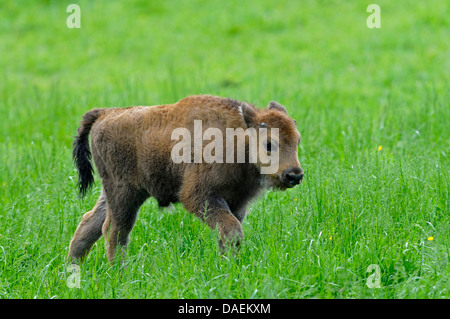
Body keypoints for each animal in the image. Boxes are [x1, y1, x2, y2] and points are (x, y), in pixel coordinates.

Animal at [68, 94, 304, 264]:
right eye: (269, 143)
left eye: (297, 140)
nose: (294, 175)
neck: (239, 137)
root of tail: (105, 113)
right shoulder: (199, 196)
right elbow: (232, 230)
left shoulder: (236, 203)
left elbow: (228, 233)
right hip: (124, 194)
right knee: (114, 231)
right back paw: (120, 271)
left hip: (111, 193)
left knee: (90, 222)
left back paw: (73, 268)